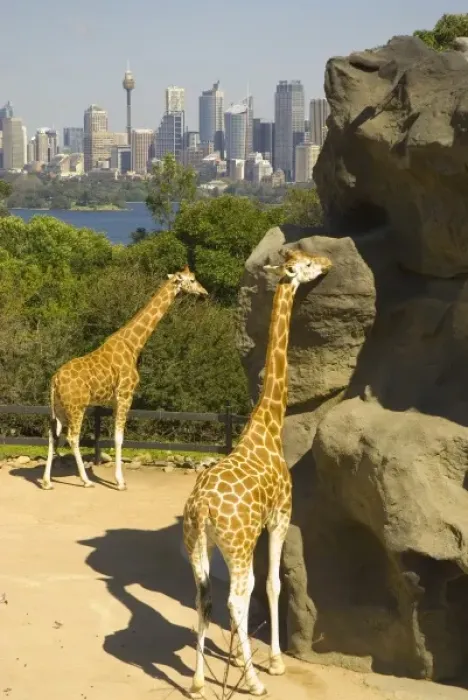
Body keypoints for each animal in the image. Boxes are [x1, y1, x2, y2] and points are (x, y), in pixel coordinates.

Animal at [42, 266, 208, 491]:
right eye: (192, 280)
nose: (204, 293)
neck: (133, 345)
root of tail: (55, 380)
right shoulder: (125, 395)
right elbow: (119, 438)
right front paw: (120, 482)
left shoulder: (114, 400)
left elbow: (116, 437)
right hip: (77, 406)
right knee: (73, 438)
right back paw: (86, 481)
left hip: (58, 408)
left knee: (53, 436)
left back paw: (47, 482)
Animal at [183, 248, 332, 697]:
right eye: (306, 264)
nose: (328, 263)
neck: (267, 425)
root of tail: (202, 507)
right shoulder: (281, 515)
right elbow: (272, 584)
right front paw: (276, 662)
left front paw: (233, 656)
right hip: (237, 542)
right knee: (236, 596)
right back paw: (254, 681)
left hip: (197, 543)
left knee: (204, 596)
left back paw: (199, 679)